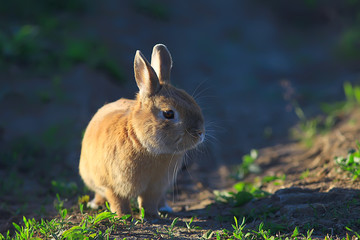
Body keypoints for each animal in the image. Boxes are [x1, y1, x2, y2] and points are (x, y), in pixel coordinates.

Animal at [79, 44, 205, 218]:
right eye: (168, 113)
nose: (200, 133)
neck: (142, 144)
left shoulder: (155, 187)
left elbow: (149, 201)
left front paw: (152, 216)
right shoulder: (111, 185)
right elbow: (117, 200)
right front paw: (123, 216)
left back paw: (164, 209)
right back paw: (95, 204)